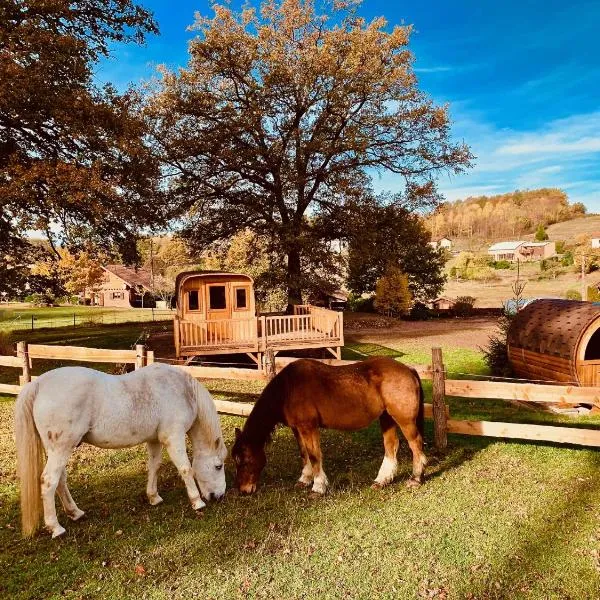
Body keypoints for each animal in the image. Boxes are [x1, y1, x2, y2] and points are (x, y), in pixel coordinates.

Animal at [16, 360, 229, 540]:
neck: (182, 390)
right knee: (49, 481)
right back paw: (56, 528)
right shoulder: (173, 437)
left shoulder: (154, 439)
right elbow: (186, 468)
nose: (219, 496)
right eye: (218, 466)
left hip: (57, 451)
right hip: (61, 450)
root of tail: (38, 384)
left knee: (60, 480)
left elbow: (155, 466)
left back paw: (75, 513)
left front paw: (154, 497)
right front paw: (197, 502)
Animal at [231, 358, 426, 494]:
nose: (244, 490)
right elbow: (304, 454)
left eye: (244, 460)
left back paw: (416, 479)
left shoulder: (308, 427)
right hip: (386, 418)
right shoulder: (297, 428)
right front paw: (304, 479)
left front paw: (318, 487)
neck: (287, 389)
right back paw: (382, 480)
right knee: (391, 446)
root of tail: (408, 370)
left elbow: (314, 455)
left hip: (404, 420)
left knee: (415, 444)